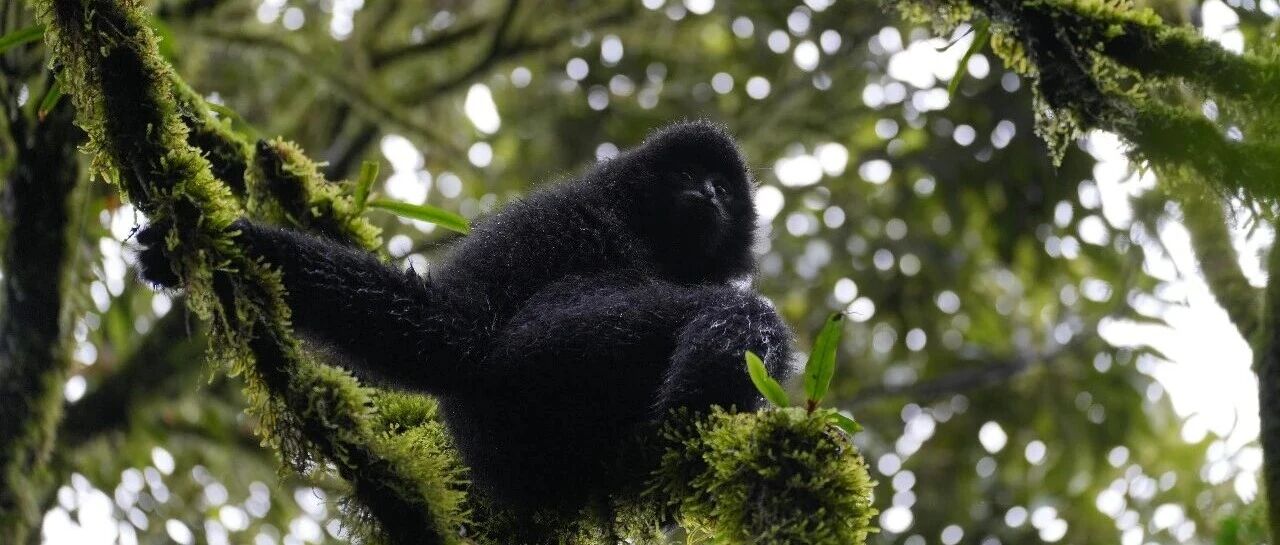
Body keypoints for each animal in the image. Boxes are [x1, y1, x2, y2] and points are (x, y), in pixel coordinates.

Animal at [138, 121, 794, 520]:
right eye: (686, 176)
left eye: (720, 186)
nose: (706, 194)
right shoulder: (564, 218)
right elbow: (453, 328)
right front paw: (243, 244)